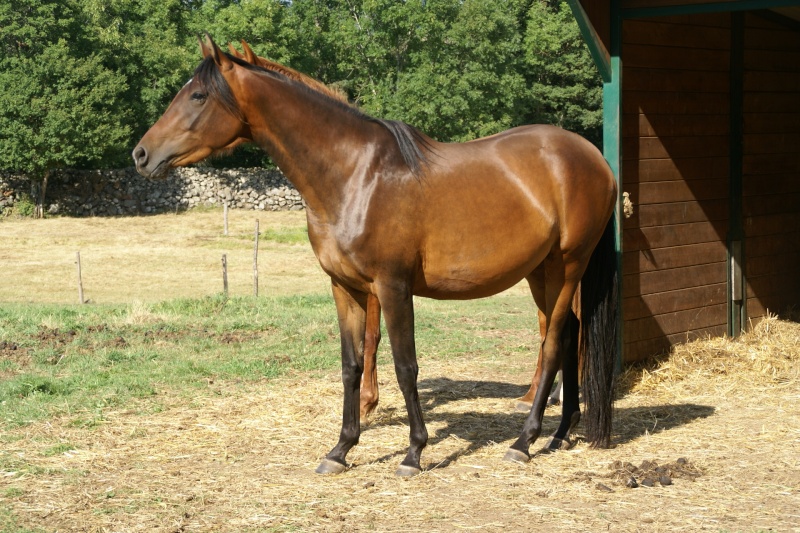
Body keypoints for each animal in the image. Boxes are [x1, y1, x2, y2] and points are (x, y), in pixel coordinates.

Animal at [133, 36, 620, 478]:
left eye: (198, 95)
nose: (141, 154)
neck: (355, 175)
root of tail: (593, 158)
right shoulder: (344, 287)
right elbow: (351, 365)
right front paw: (341, 449)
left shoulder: (393, 286)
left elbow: (406, 366)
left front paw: (414, 452)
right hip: (542, 271)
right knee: (570, 334)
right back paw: (560, 432)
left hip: (568, 265)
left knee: (554, 342)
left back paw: (524, 441)